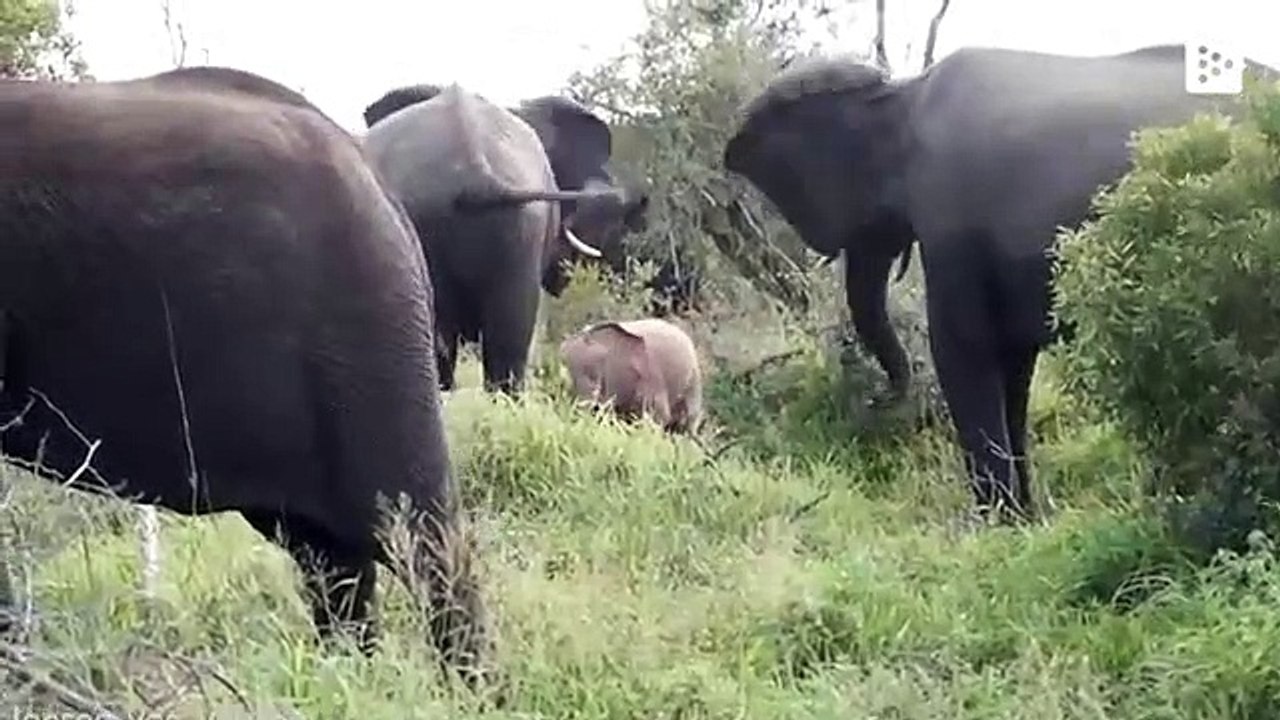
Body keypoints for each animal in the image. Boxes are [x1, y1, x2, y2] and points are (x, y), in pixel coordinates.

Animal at [0, 66, 490, 685]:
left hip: (368, 325)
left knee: (421, 541)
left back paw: (466, 692)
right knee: (331, 557)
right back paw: (346, 680)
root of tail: (380, 186)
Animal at [723, 44, 1280, 521]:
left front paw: (997, 527)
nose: (881, 399)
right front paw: (1027, 522)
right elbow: (1011, 362)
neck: (899, 94)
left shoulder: (949, 210)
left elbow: (964, 349)